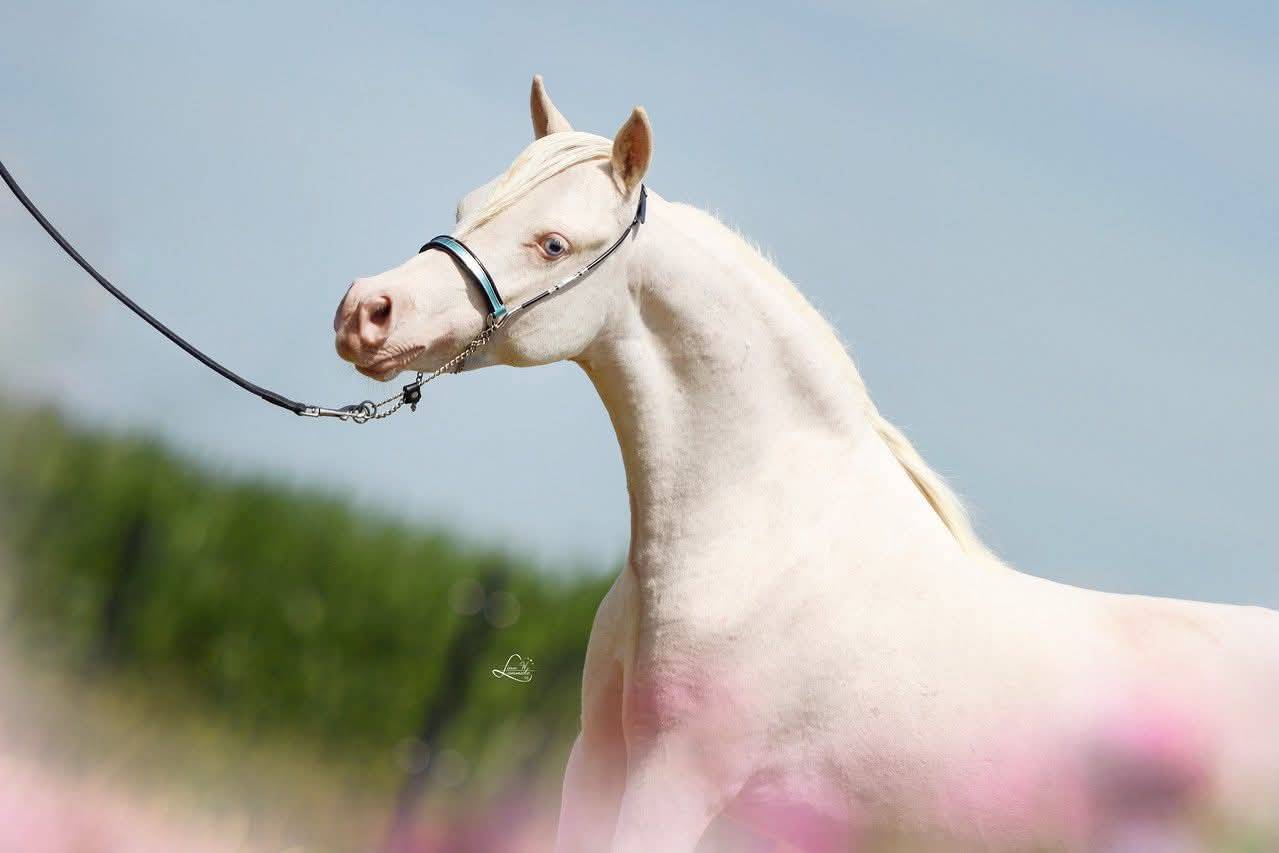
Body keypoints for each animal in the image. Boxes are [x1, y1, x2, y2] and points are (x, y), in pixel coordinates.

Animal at [333, 77, 1279, 851]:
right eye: (468, 203)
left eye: (553, 243)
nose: (365, 312)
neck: (765, 552)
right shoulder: (596, 762)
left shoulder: (679, 784)